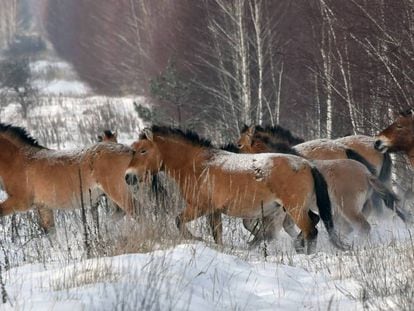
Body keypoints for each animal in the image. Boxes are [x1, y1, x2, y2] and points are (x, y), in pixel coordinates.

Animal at [123, 125, 350, 255]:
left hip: (294, 209)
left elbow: (179, 221)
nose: (128, 176)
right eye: (132, 150)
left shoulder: (199, 207)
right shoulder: (214, 212)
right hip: (297, 208)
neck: (197, 165)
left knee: (311, 230)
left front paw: (197, 240)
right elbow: (217, 234)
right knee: (314, 222)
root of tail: (307, 165)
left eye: (143, 150)